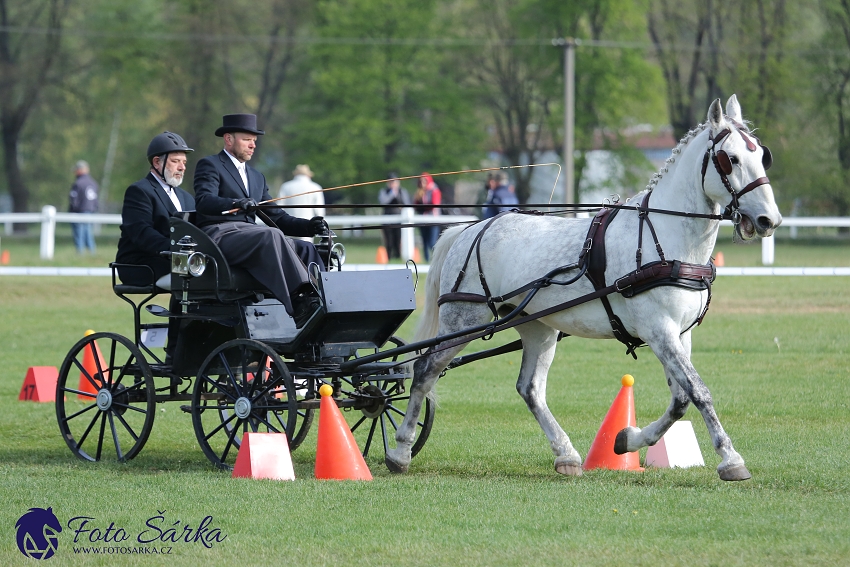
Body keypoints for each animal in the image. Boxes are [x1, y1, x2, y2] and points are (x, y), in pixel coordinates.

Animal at [388, 95, 780, 482]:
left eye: (762, 155)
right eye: (730, 159)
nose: (769, 220)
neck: (667, 238)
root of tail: (471, 228)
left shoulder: (679, 334)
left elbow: (680, 399)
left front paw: (627, 439)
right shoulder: (660, 331)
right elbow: (699, 391)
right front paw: (730, 459)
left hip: (537, 327)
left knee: (530, 389)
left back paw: (566, 455)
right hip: (465, 319)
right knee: (424, 370)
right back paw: (400, 450)